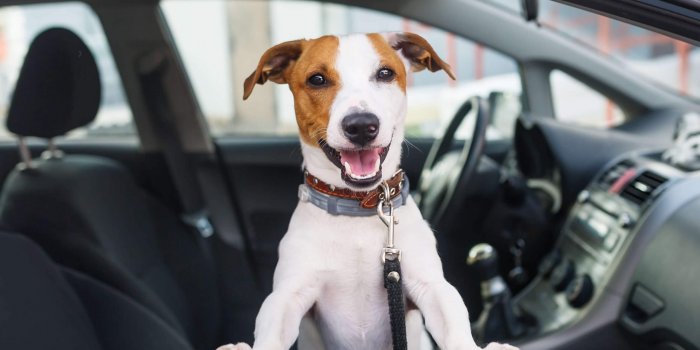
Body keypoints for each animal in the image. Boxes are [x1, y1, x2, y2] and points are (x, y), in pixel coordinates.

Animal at [219, 32, 516, 350]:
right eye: (317, 79)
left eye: (385, 73)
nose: (361, 125)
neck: (357, 206)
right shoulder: (287, 295)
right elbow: (272, 327)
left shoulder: (429, 285)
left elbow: (453, 319)